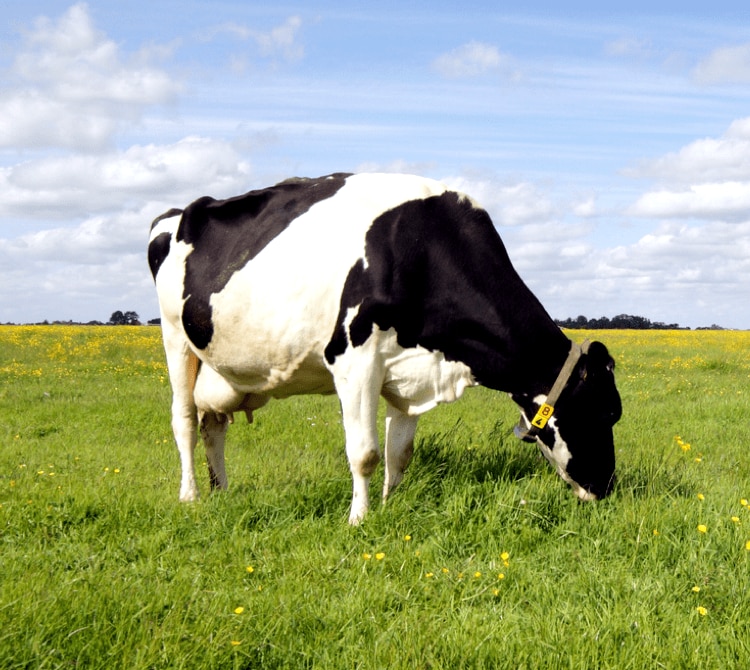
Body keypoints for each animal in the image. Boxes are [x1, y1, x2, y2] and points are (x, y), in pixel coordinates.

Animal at [147, 172, 624, 524]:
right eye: (605, 413)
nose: (606, 487)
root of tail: (178, 212)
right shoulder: (354, 361)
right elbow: (365, 453)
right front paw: (358, 519)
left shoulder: (411, 371)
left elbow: (400, 453)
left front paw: (389, 505)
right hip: (175, 338)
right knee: (184, 421)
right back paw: (190, 495)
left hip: (219, 366)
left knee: (213, 425)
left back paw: (223, 491)